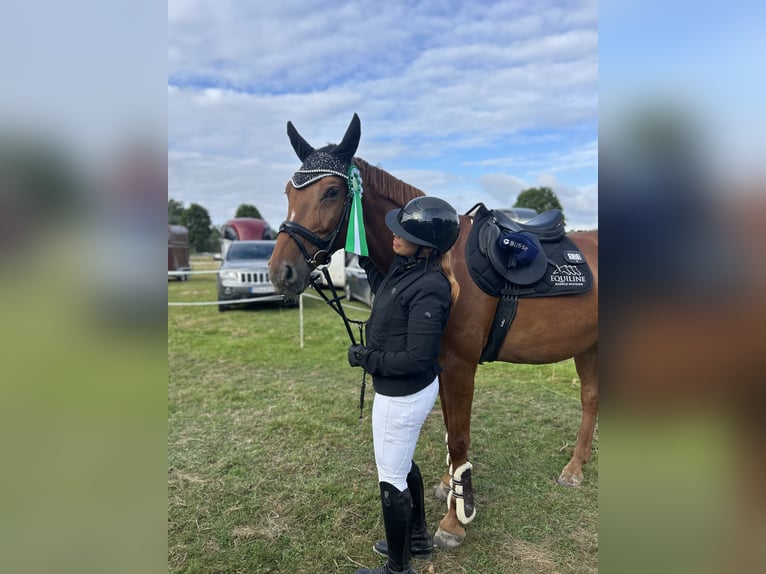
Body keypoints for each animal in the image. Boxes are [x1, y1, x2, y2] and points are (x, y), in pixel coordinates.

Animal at [269, 114, 599, 549]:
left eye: (332, 191)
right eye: (289, 190)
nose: (281, 272)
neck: (441, 260)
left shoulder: (459, 364)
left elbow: (458, 437)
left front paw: (455, 520)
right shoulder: (438, 364)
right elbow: (449, 429)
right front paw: (447, 487)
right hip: (588, 346)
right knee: (591, 399)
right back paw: (576, 466)